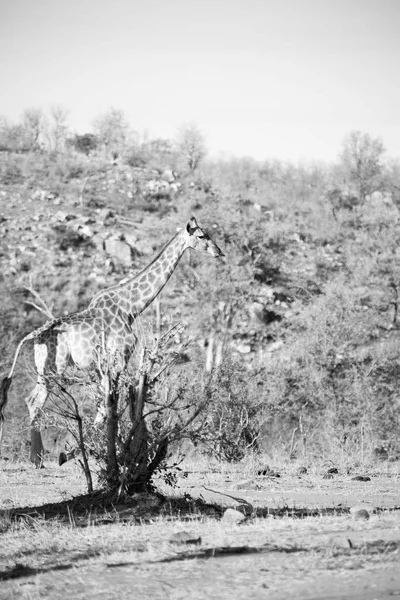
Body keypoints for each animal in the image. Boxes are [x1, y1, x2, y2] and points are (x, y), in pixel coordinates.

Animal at [0, 216, 225, 464]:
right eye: (202, 236)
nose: (219, 252)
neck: (131, 307)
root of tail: (36, 335)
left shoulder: (106, 366)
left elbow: (106, 404)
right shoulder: (120, 357)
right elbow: (109, 406)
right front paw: (89, 452)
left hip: (44, 368)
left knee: (31, 400)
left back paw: (39, 456)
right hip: (54, 369)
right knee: (35, 402)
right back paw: (37, 458)